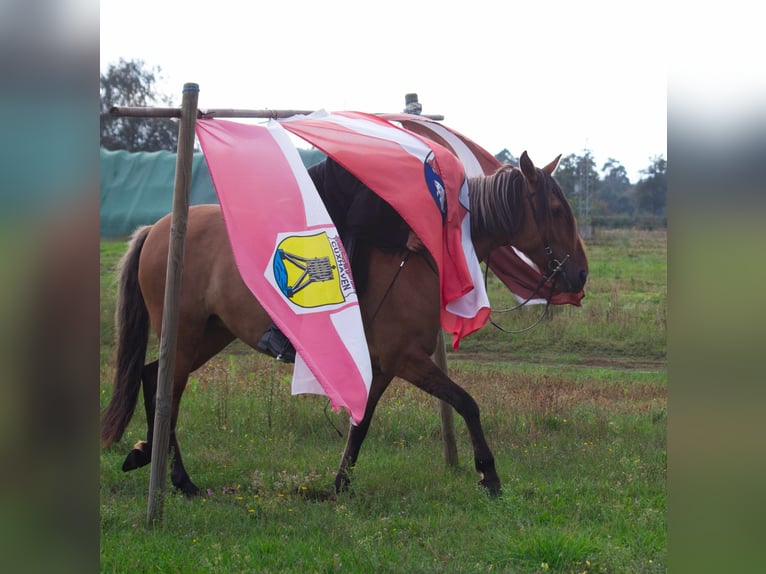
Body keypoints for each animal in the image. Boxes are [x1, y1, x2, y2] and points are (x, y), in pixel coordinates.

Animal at [97, 152, 588, 500]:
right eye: (556, 209)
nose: (580, 275)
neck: (428, 255)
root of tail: (157, 228)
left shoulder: (384, 367)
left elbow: (362, 424)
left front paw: (339, 484)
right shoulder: (408, 360)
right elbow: (467, 403)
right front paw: (489, 474)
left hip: (211, 333)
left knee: (154, 381)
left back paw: (152, 459)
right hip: (186, 332)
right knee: (166, 391)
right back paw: (177, 476)